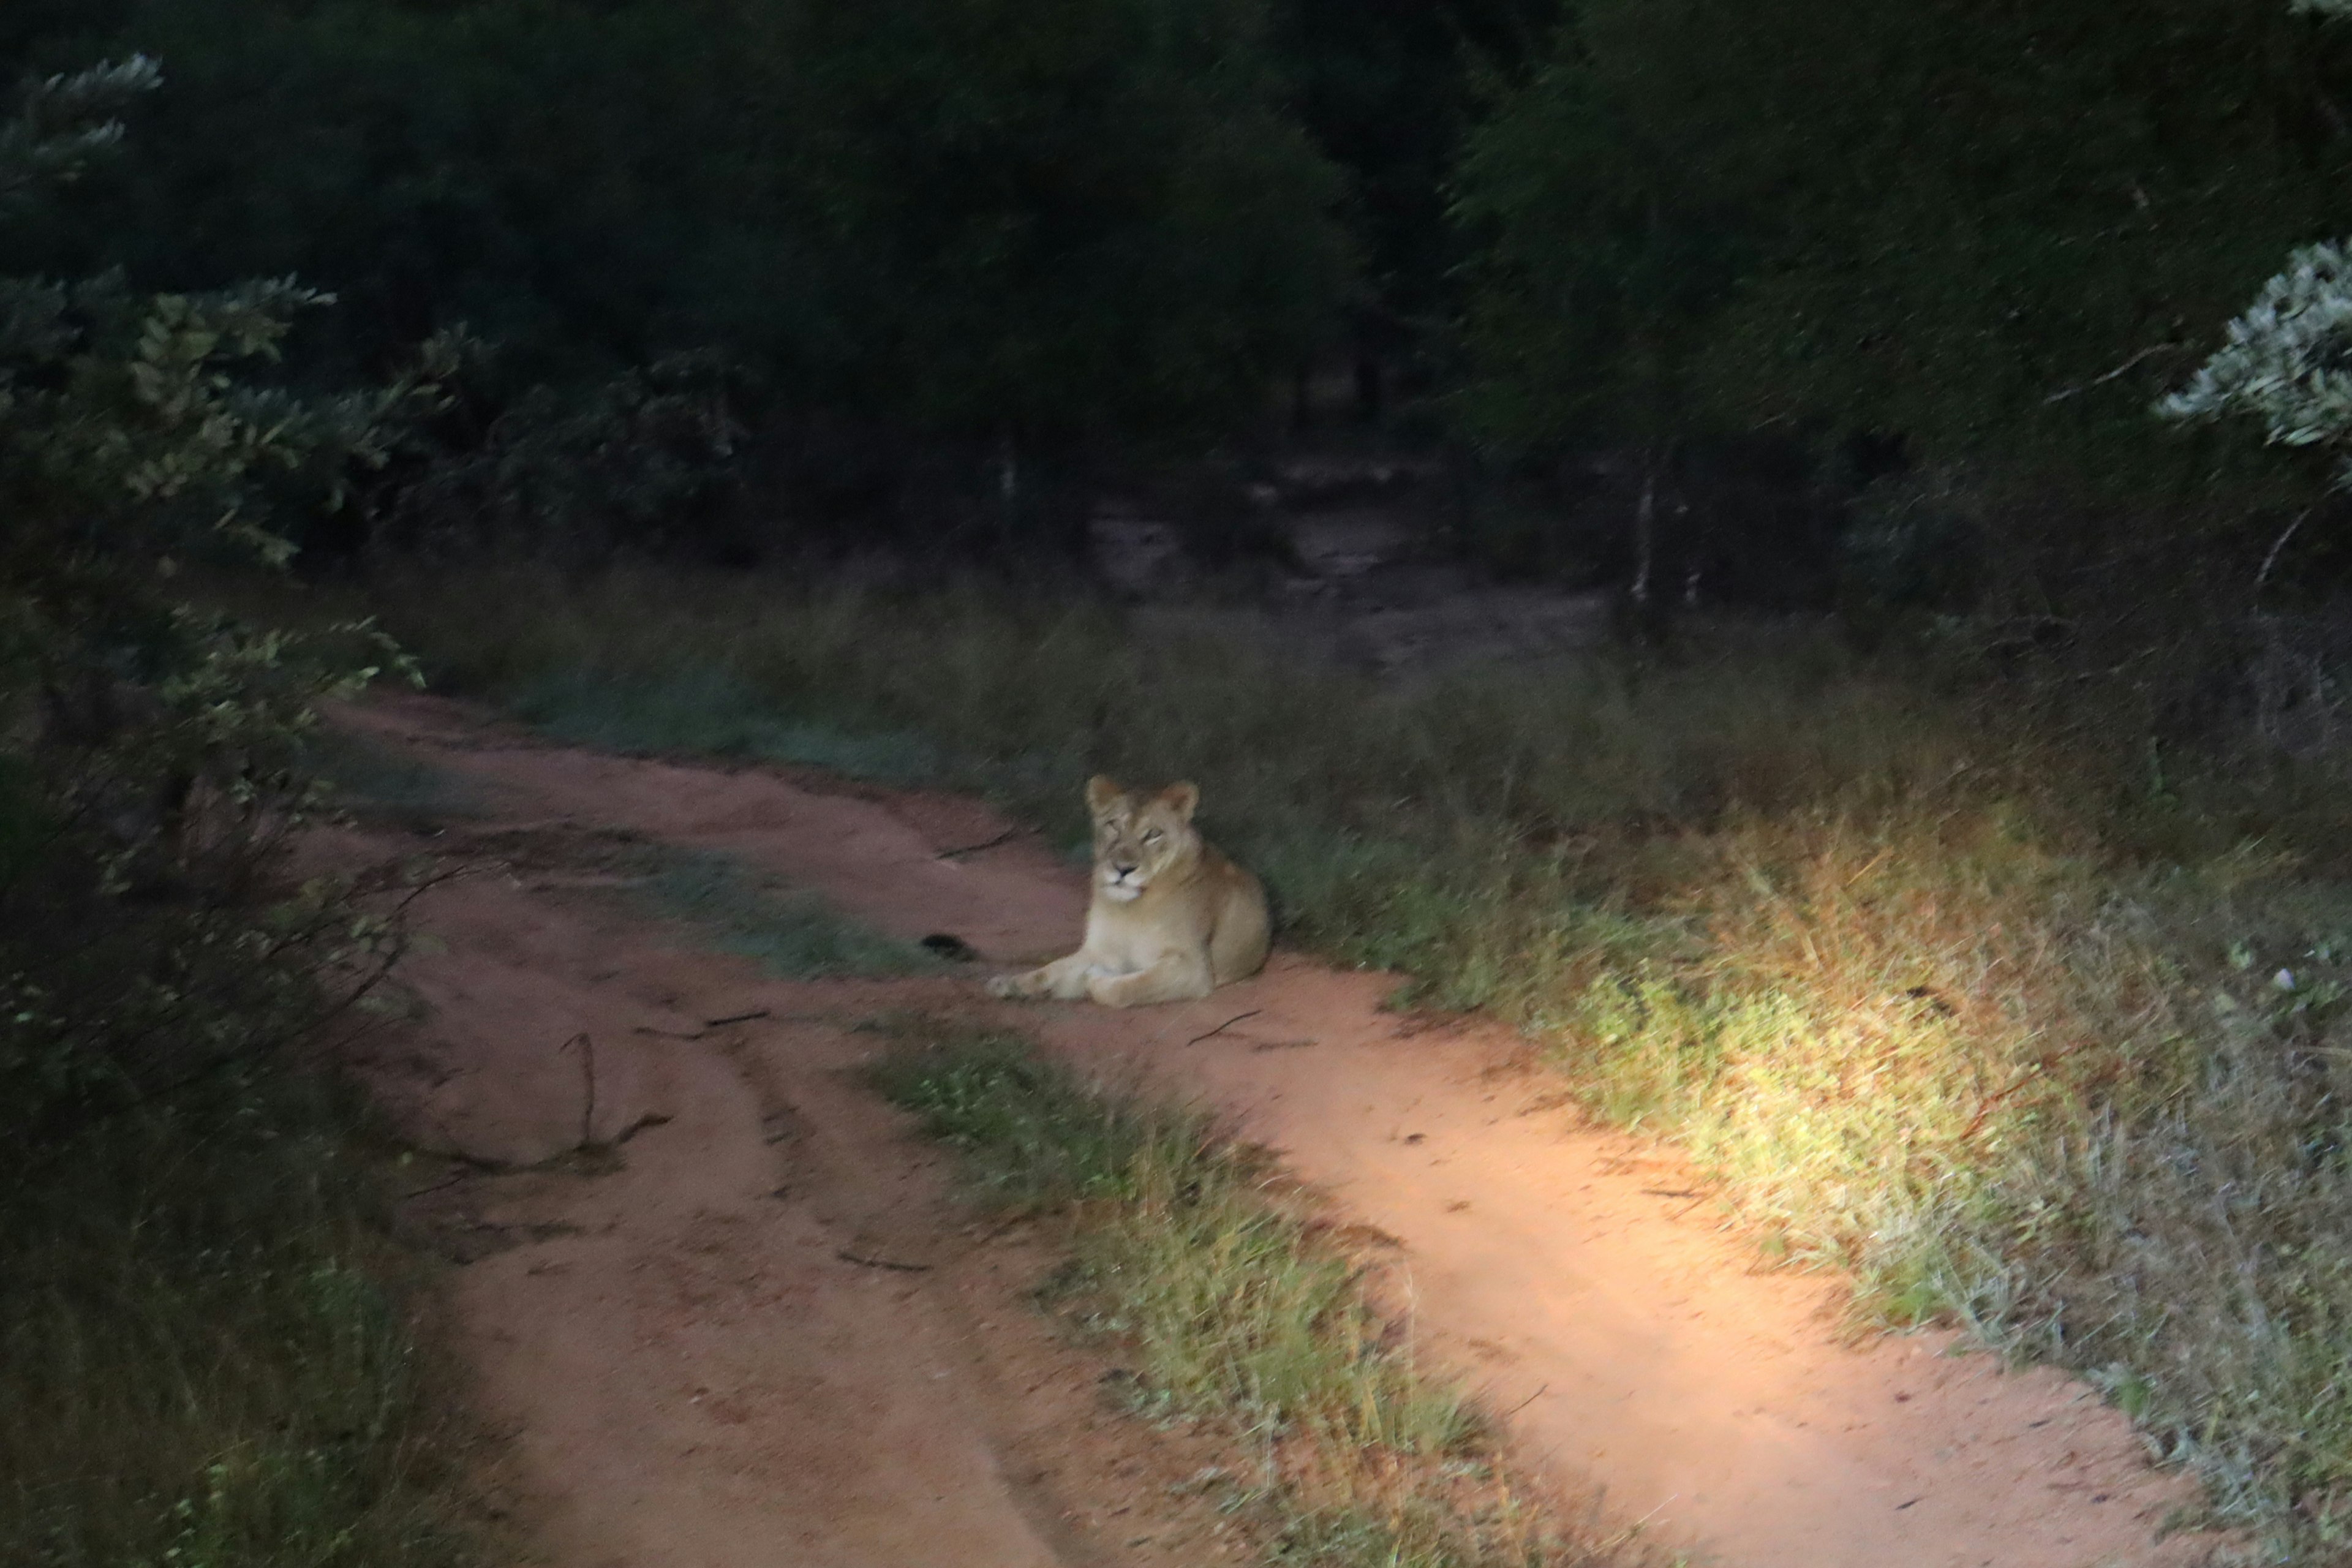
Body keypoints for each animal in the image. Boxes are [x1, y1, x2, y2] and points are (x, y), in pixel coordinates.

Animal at [983, 775, 1270, 1020]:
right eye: (1114, 825)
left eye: (1153, 834)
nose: (1123, 869)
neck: (1132, 908)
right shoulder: (1098, 949)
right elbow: (1050, 971)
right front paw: (1010, 984)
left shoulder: (1194, 968)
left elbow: (1124, 988)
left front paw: (1095, 979)